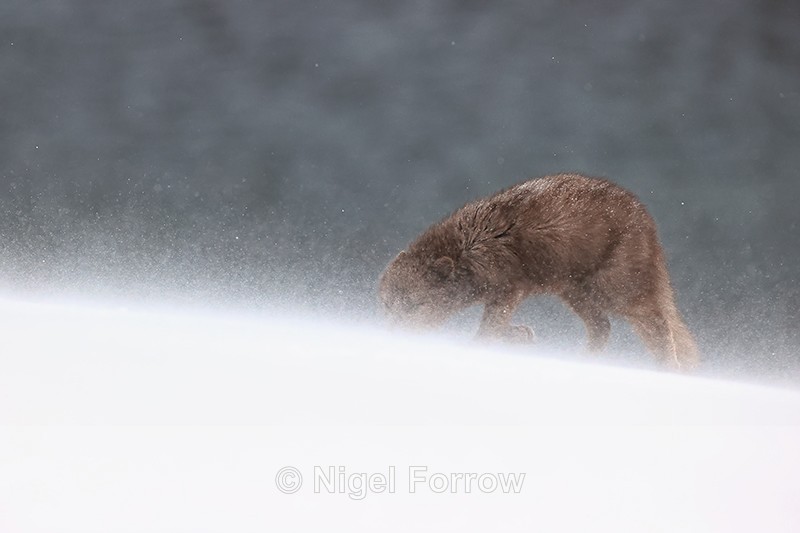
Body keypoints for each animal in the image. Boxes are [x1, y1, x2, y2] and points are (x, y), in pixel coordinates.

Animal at [378, 173, 699, 370]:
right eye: (387, 305)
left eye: (415, 305)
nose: (393, 335)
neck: (469, 246)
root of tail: (648, 222)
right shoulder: (503, 294)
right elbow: (499, 327)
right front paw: (522, 335)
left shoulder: (508, 289)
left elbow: (488, 329)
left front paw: (477, 347)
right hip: (573, 291)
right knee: (603, 327)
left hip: (614, 291)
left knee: (660, 324)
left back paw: (669, 367)